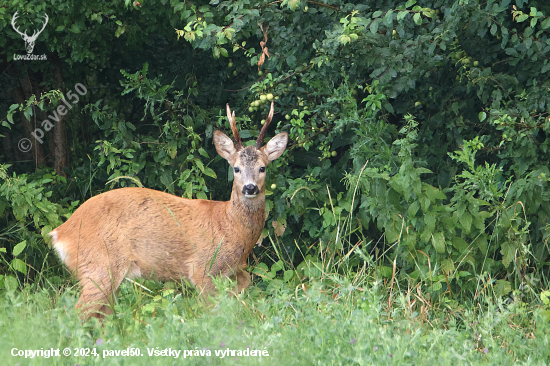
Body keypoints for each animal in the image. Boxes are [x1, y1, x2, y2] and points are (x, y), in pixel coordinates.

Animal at [49, 101, 288, 318]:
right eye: (236, 168)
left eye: (262, 168)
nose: (250, 188)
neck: (230, 227)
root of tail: (61, 232)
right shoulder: (203, 268)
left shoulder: (237, 273)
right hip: (99, 266)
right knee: (77, 314)